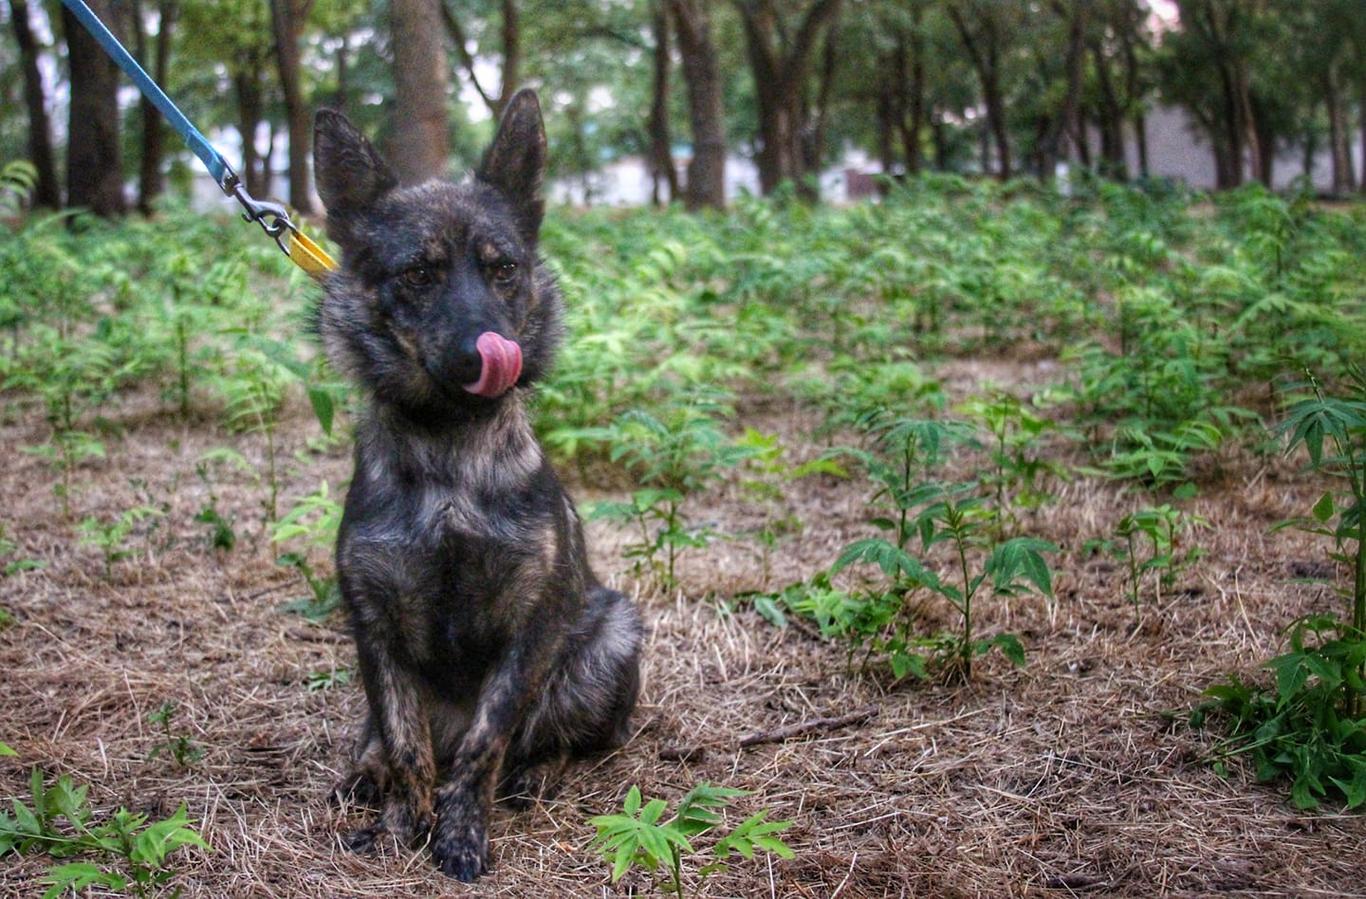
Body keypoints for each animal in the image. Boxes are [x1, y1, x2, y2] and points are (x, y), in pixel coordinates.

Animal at [314, 89, 644, 874]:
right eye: (418, 274)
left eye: (505, 269)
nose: (489, 353)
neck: (450, 455)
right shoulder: (374, 624)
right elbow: (407, 744)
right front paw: (402, 826)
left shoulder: (533, 624)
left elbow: (487, 739)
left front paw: (461, 831)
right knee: (378, 737)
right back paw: (362, 775)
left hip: (611, 636)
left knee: (562, 740)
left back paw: (538, 773)